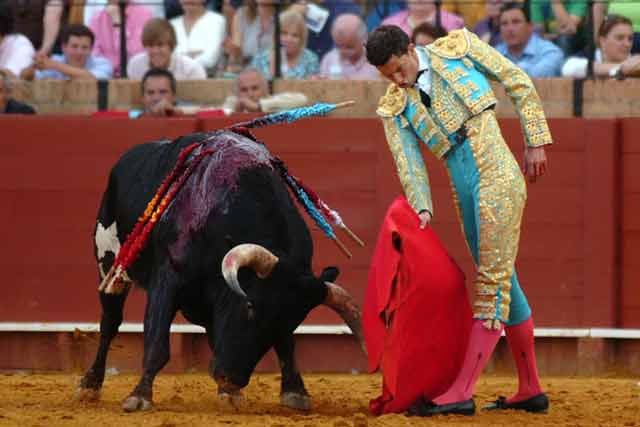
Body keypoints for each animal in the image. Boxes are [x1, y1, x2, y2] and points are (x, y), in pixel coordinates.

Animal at [74, 131, 364, 414]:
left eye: (293, 322)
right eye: (249, 305)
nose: (231, 378)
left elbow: (286, 345)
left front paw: (295, 392)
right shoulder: (168, 281)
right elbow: (157, 344)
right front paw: (139, 396)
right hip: (109, 266)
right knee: (110, 324)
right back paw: (89, 385)